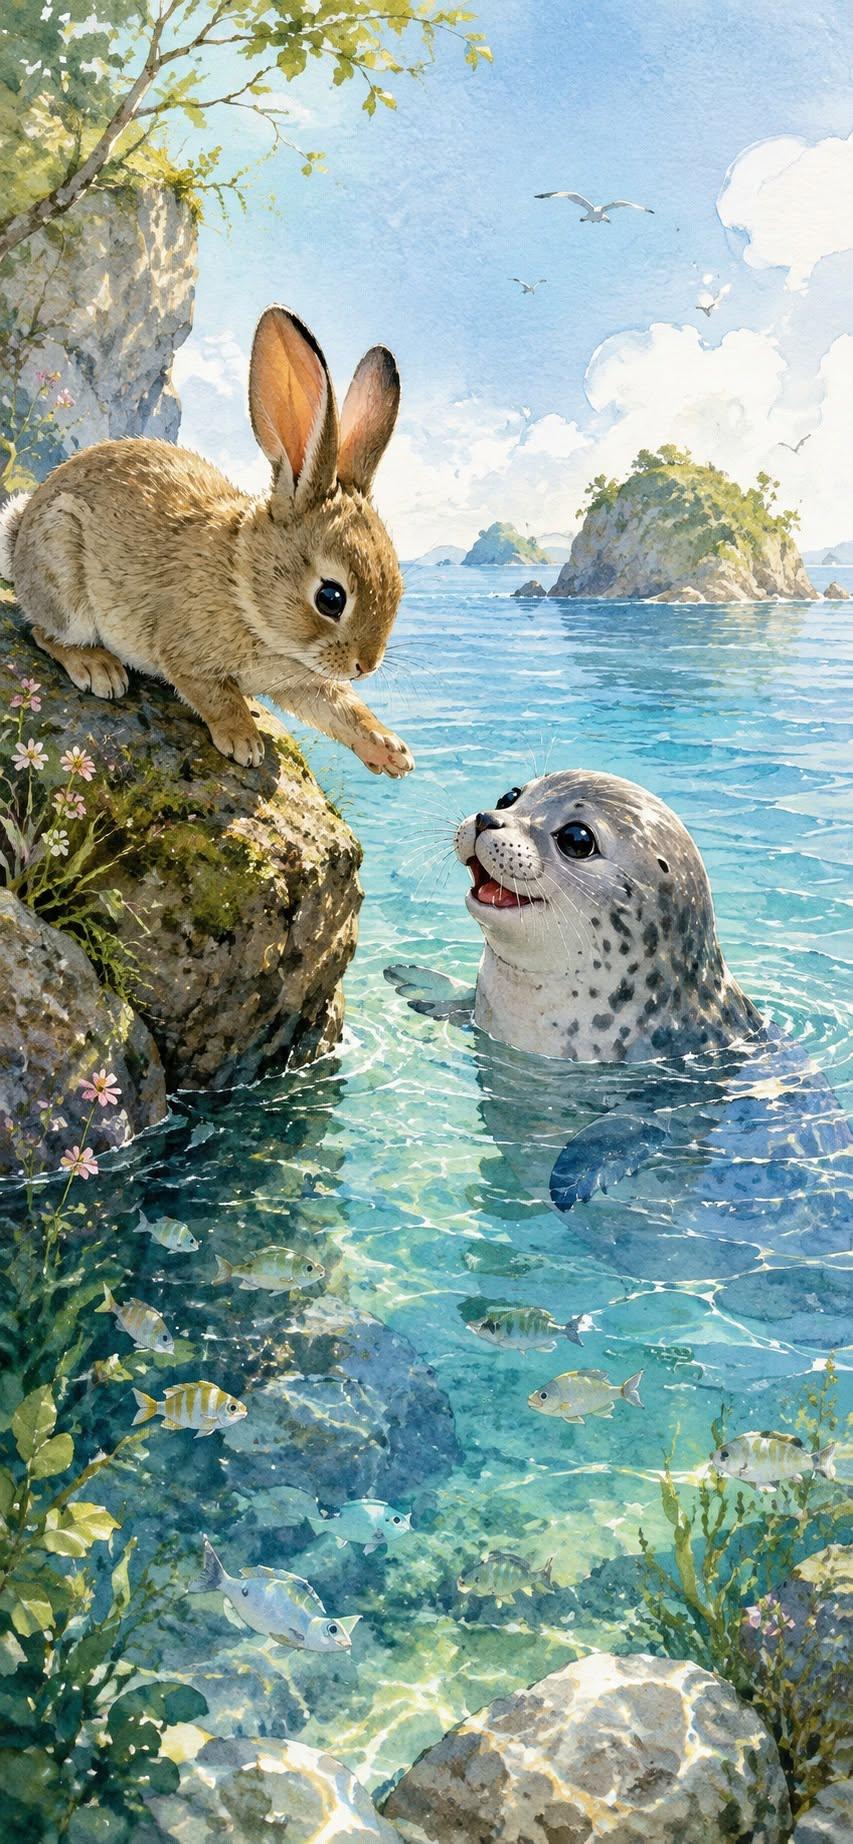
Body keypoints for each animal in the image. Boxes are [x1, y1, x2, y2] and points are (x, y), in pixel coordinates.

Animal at [3, 306, 413, 776]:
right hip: (62, 571)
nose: (365, 666)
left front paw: (389, 750)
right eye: (331, 598)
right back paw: (98, 669)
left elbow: (340, 709)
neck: (243, 584)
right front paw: (243, 742)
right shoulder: (186, 653)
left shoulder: (299, 677)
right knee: (43, 631)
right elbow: (216, 697)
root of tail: (18, 540)